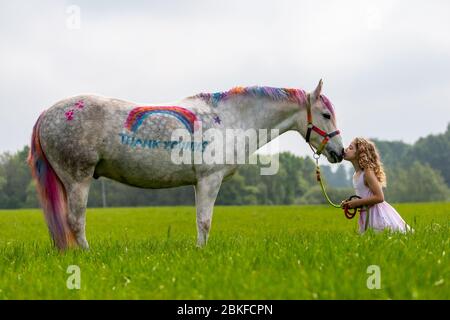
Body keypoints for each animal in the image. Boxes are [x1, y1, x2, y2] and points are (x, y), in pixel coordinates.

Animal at [29, 79, 344, 250]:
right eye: (326, 115)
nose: (339, 152)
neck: (230, 119)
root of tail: (47, 113)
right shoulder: (209, 180)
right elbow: (204, 221)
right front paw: (201, 252)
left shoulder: (198, 183)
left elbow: (199, 220)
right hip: (77, 179)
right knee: (75, 221)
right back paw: (86, 254)